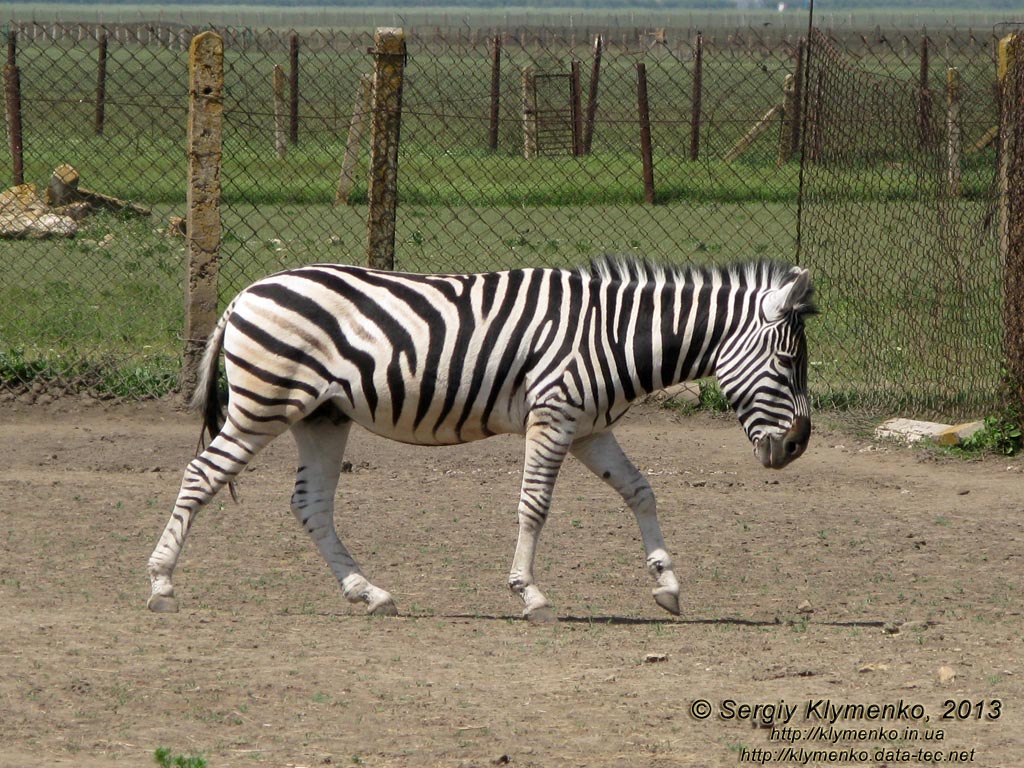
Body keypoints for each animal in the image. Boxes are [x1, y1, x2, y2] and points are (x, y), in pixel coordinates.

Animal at [146, 257, 815, 618]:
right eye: (787, 364)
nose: (799, 446)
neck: (615, 335)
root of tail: (243, 293)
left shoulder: (590, 428)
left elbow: (641, 491)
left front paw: (668, 585)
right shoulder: (554, 414)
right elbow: (535, 504)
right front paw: (530, 593)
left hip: (322, 416)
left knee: (310, 504)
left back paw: (369, 592)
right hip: (264, 404)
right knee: (202, 474)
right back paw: (161, 583)